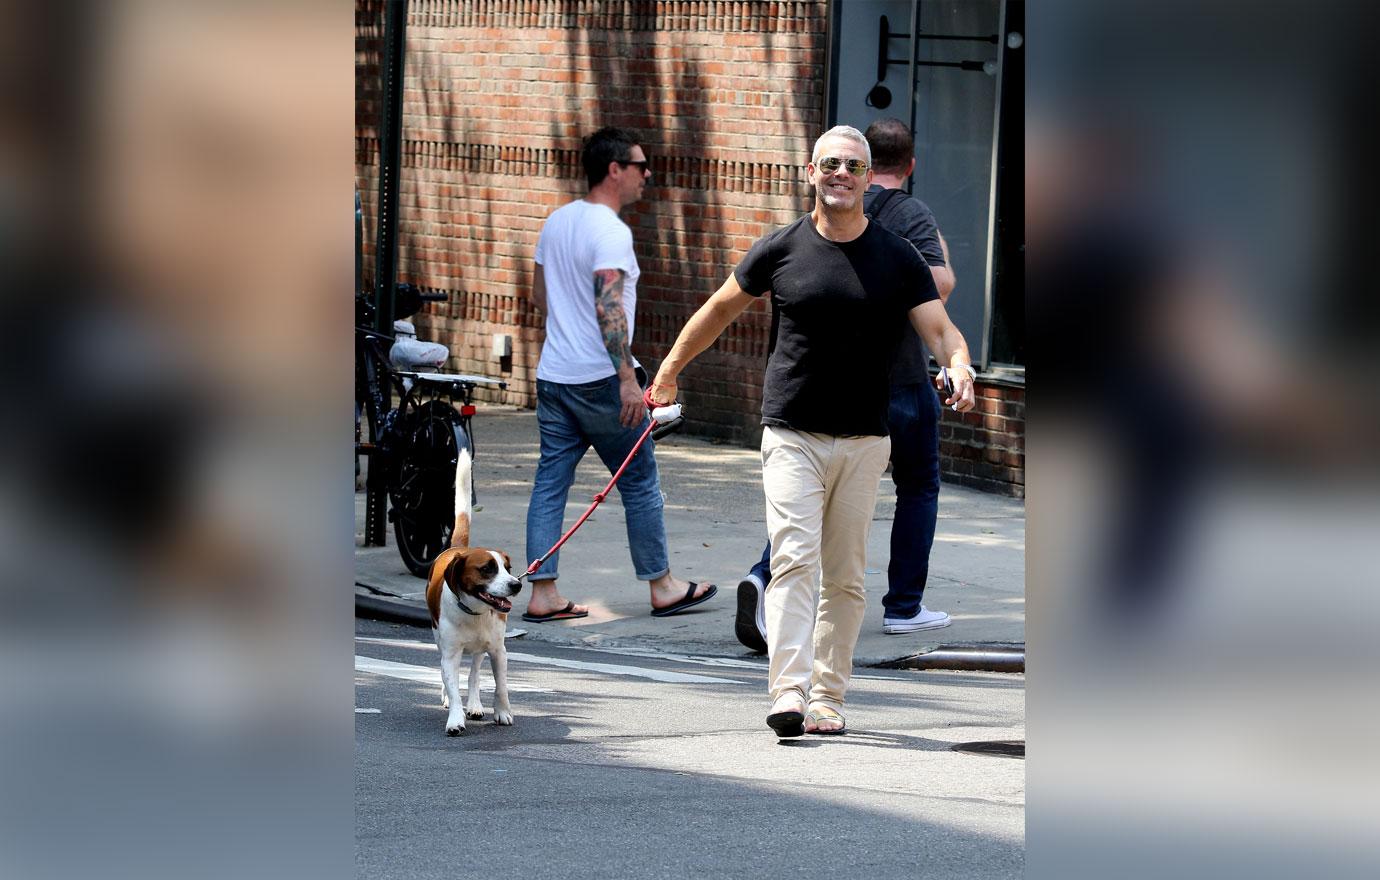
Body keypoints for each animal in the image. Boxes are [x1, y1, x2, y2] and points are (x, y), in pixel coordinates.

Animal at [422, 446, 518, 739]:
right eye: (487, 569)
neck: (475, 612)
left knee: (475, 672)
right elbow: (453, 688)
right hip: (438, 638)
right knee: (448, 674)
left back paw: (475, 704)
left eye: (508, 568)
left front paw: (503, 712)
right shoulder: (450, 653)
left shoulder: (499, 651)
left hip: (481, 648)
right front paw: (455, 719)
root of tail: (458, 549)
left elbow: (501, 686)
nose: (517, 584)